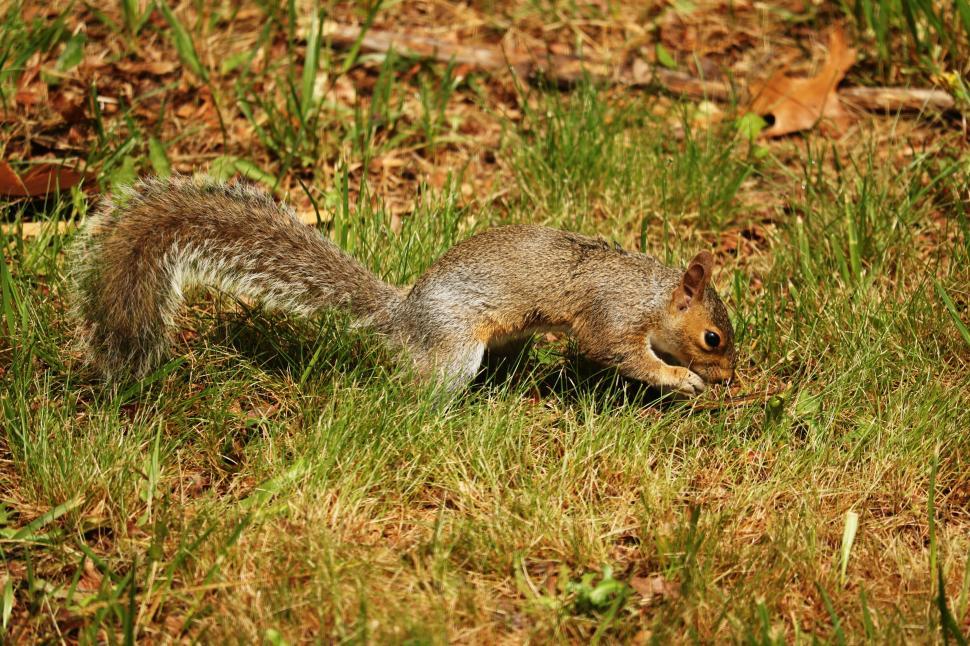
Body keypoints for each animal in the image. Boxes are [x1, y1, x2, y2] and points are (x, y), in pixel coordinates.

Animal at [69, 175, 736, 396]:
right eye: (712, 338)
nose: (731, 378)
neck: (651, 293)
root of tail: (404, 314)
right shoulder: (611, 316)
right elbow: (617, 353)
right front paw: (684, 380)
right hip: (454, 350)